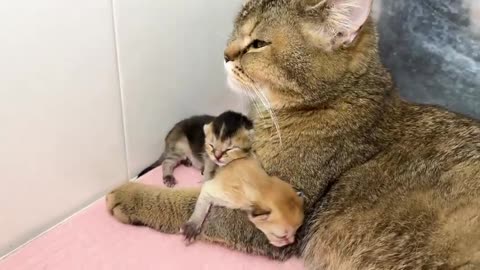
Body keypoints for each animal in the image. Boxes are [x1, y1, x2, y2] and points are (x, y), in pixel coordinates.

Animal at [108, 1, 480, 268]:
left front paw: (129, 195)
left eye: (257, 43)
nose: (225, 54)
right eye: (235, 31)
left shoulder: (266, 211)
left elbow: (187, 203)